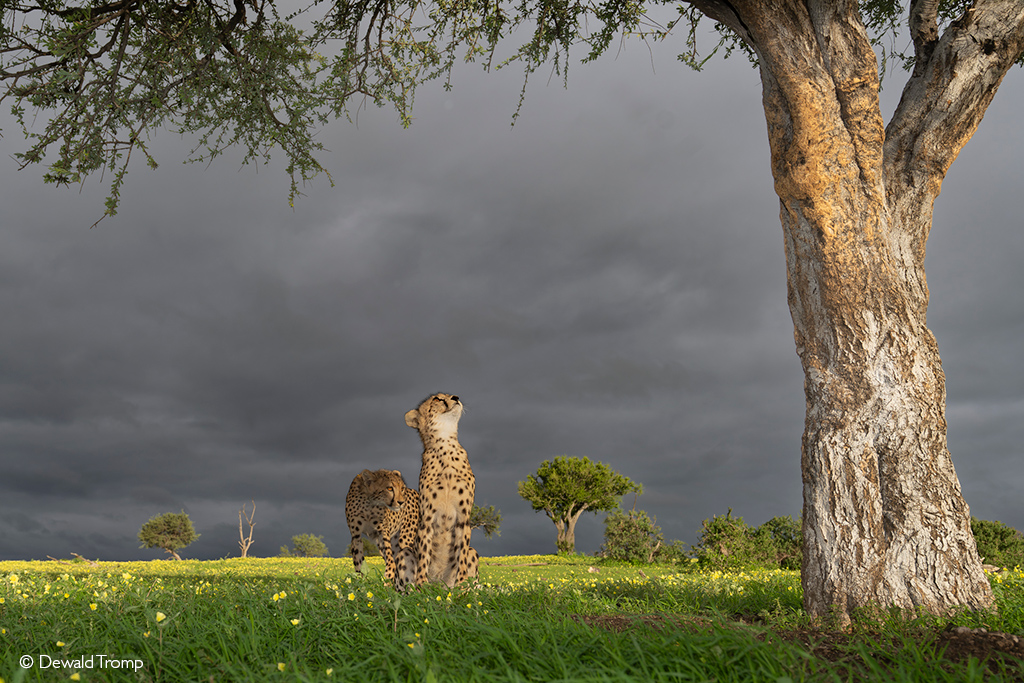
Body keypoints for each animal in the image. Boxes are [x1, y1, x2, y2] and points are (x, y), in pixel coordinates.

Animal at [399, 393, 479, 589]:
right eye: (437, 399)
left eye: (450, 395)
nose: (456, 397)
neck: (446, 443)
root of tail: (441, 586)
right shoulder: (427, 518)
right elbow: (423, 556)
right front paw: (422, 585)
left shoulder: (463, 518)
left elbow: (461, 557)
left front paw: (462, 585)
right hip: (404, 553)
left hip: (473, 552)